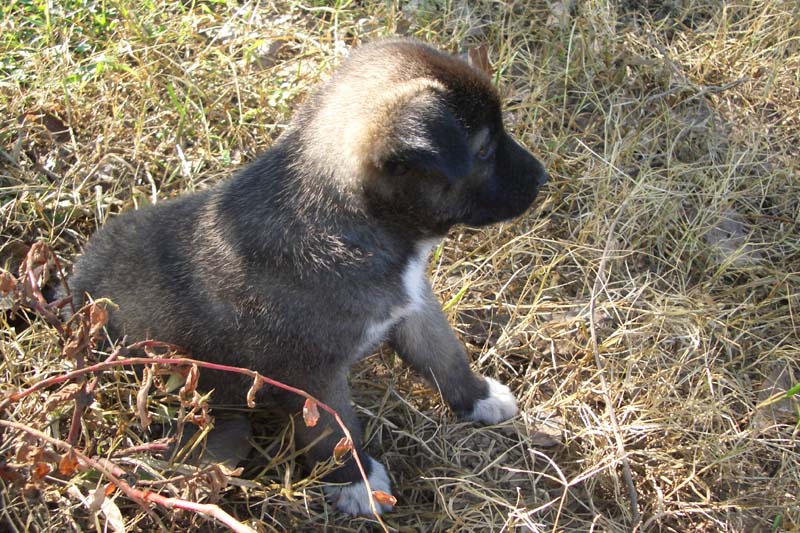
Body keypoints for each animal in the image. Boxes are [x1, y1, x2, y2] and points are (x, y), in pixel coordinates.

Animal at [70, 39, 552, 512]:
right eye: (485, 150)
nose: (543, 178)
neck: (351, 221)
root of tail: (73, 285)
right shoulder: (310, 375)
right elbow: (336, 433)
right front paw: (356, 483)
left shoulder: (415, 306)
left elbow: (444, 355)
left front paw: (478, 396)